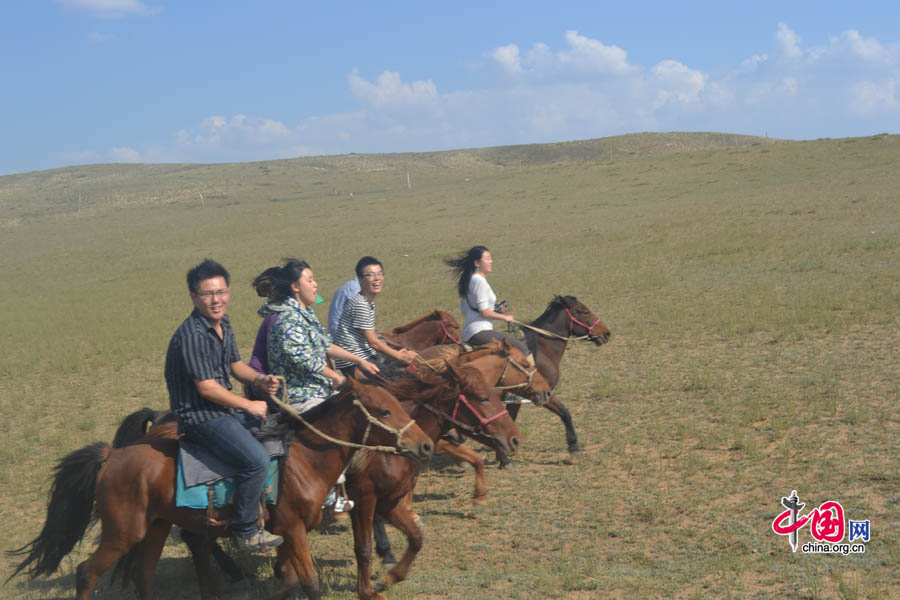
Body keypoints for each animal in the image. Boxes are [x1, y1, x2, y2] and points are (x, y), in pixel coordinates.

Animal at [8, 380, 432, 600]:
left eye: (400, 402)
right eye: (384, 410)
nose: (426, 445)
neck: (305, 459)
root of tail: (112, 456)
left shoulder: (288, 533)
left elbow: (289, 579)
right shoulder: (295, 529)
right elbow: (311, 584)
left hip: (156, 527)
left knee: (145, 573)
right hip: (123, 532)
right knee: (86, 572)